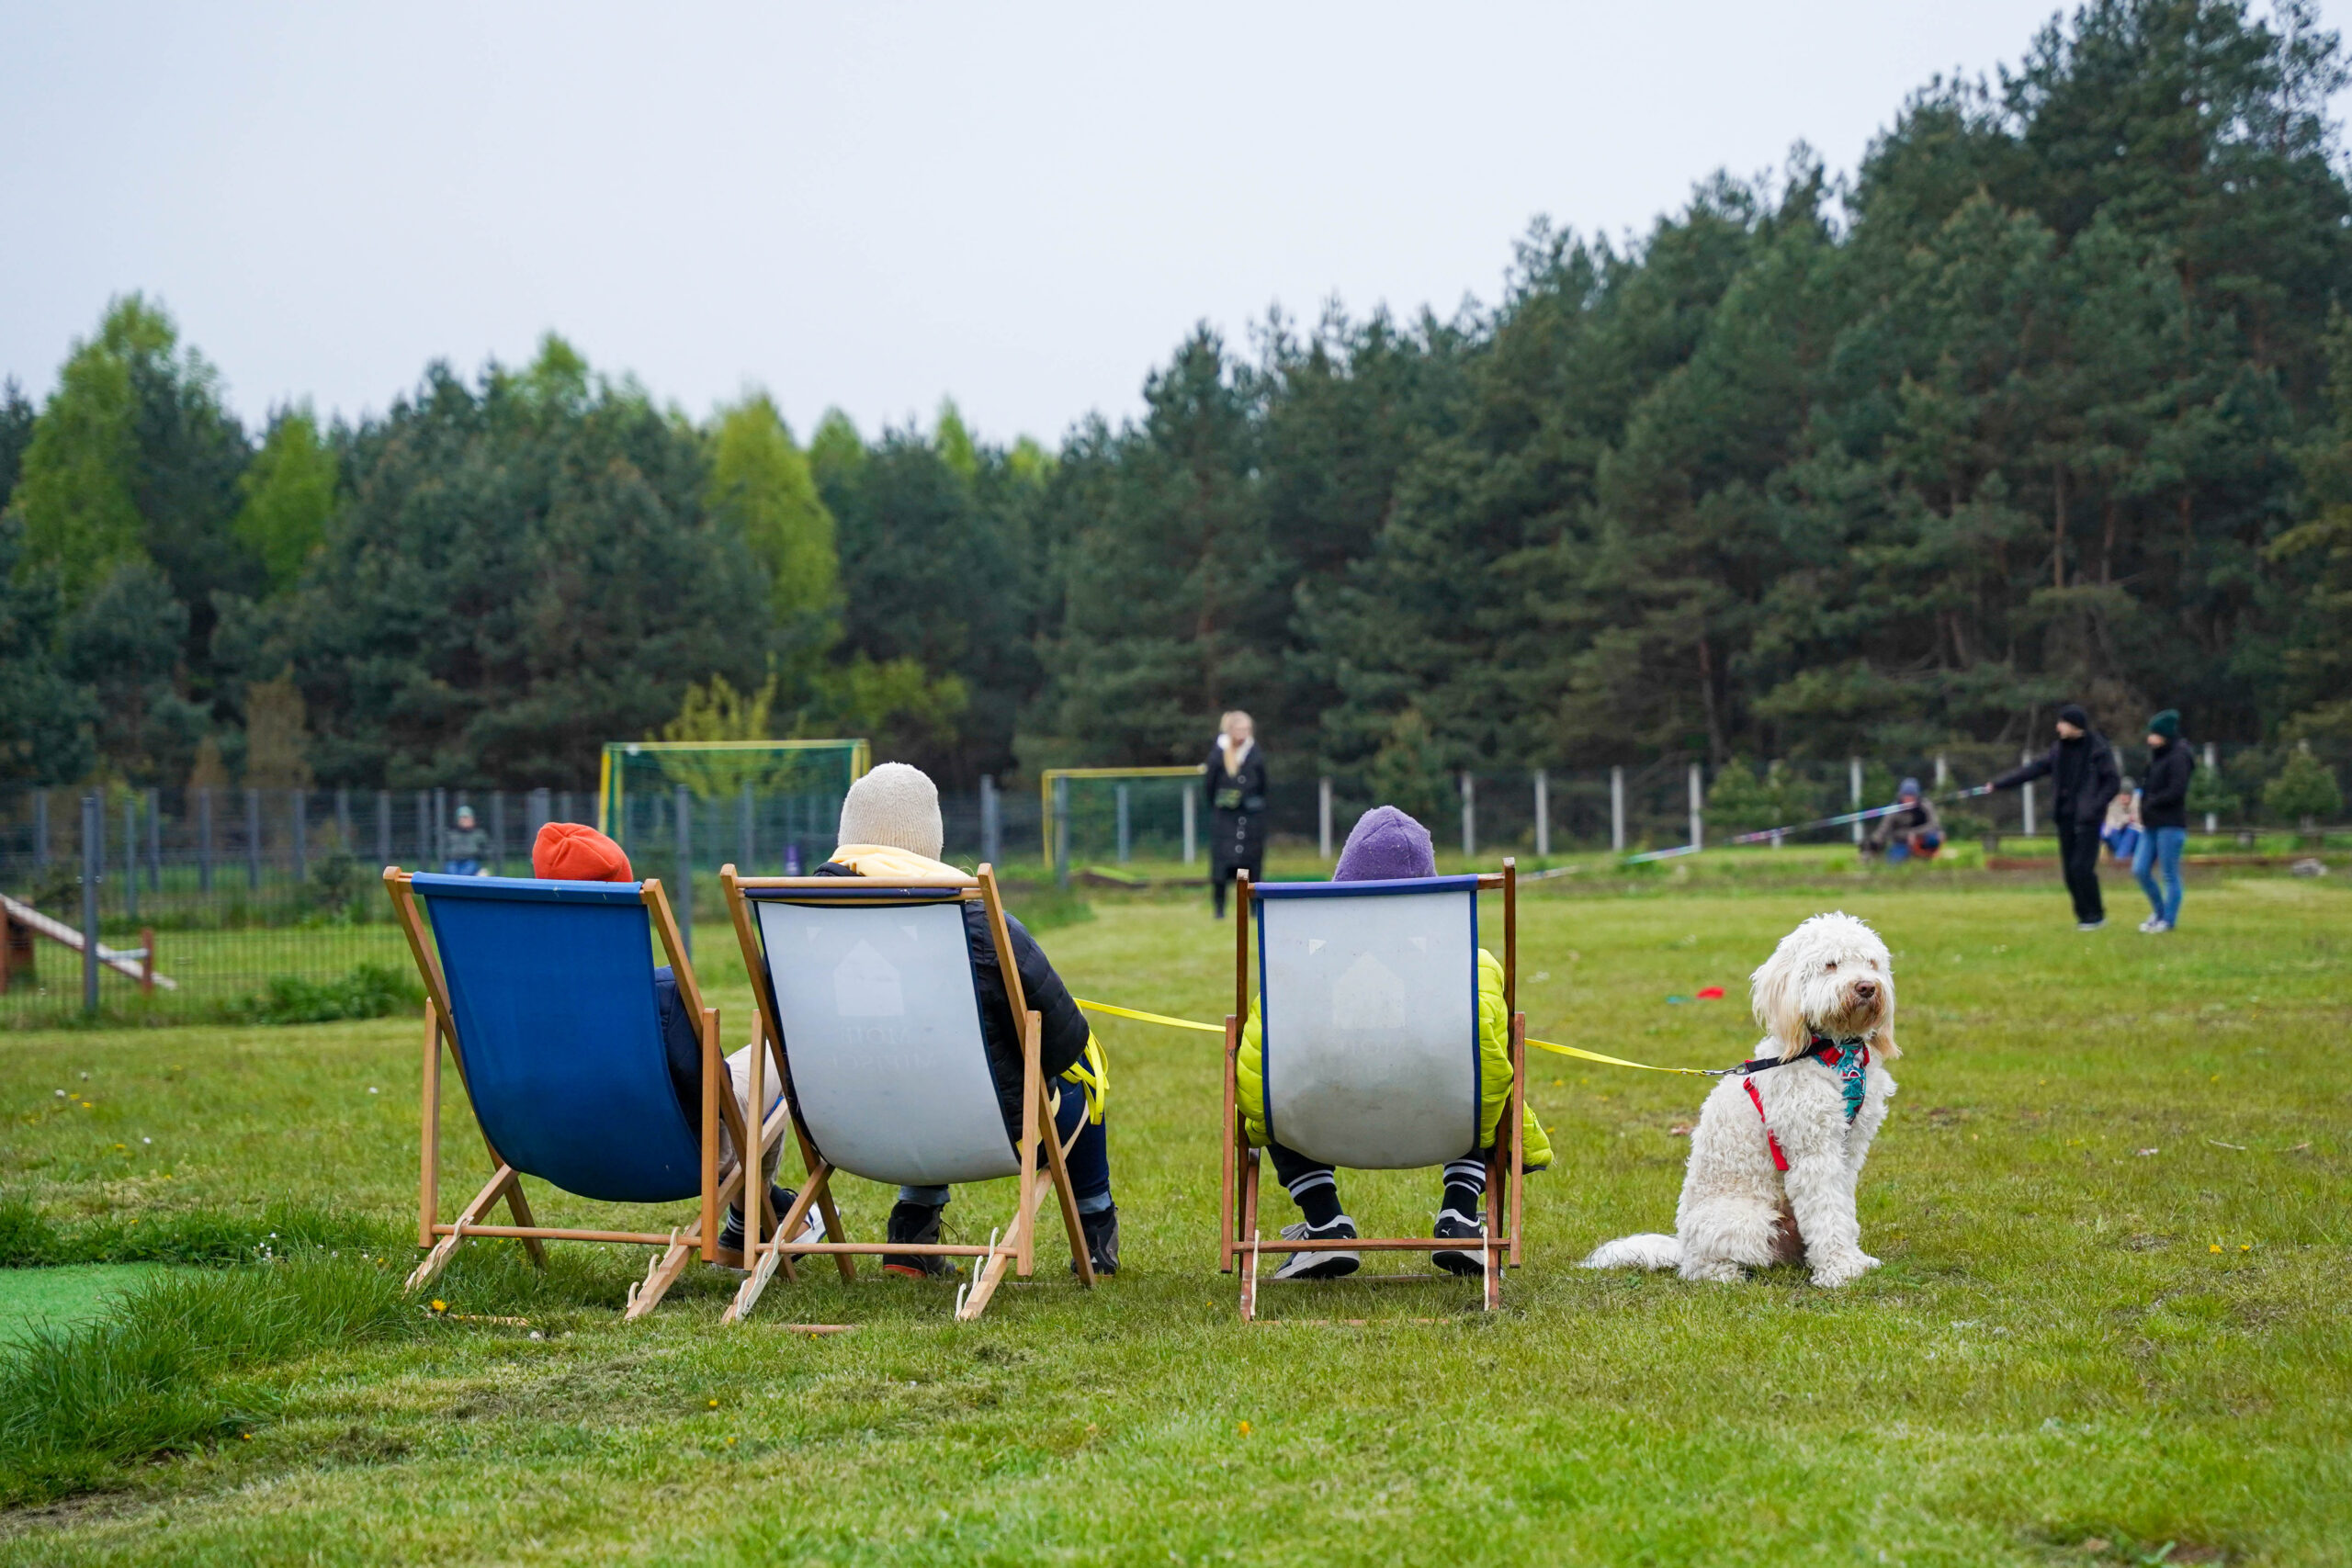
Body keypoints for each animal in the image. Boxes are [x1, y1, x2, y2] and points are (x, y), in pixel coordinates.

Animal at [1580, 907, 1891, 1288]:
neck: (1832, 1051)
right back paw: (1725, 1274)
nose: (1866, 987)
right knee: (1702, 1267)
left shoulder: (1849, 1148)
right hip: (1747, 1221)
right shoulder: (1813, 1150)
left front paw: (1855, 1260)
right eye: (1831, 964)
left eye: (1870, 962)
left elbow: (1843, 1208)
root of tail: (1682, 1246)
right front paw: (1839, 1270)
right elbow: (1827, 1211)